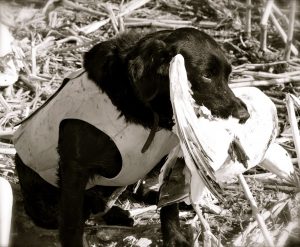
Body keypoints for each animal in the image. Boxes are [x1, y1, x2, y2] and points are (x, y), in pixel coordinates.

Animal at [13, 27, 248, 247]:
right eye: (206, 75)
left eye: (228, 74)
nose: (244, 115)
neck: (144, 110)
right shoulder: (74, 169)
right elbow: (72, 222)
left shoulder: (169, 158)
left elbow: (169, 208)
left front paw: (175, 238)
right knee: (82, 206)